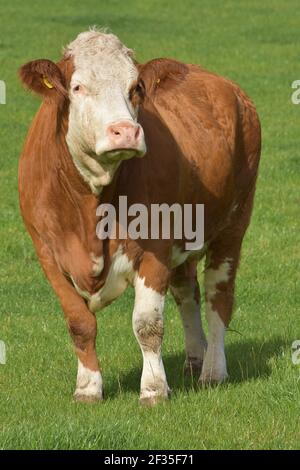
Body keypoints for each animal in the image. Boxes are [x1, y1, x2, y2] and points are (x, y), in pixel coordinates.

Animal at [18, 28, 260, 404]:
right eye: (77, 87)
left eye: (136, 87)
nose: (125, 131)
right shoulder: (46, 252)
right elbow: (79, 323)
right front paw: (87, 388)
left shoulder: (156, 246)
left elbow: (147, 324)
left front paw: (154, 389)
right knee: (187, 293)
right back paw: (195, 358)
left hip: (233, 226)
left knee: (218, 296)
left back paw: (213, 370)